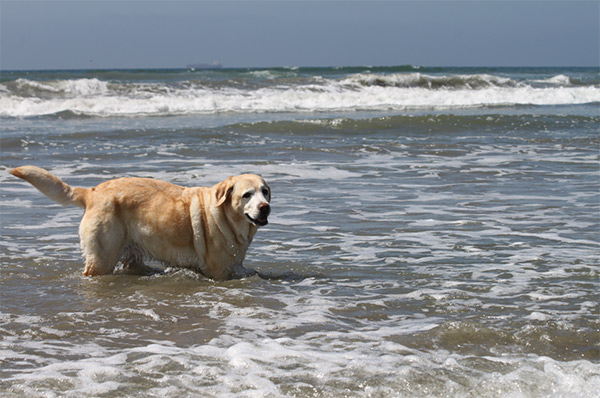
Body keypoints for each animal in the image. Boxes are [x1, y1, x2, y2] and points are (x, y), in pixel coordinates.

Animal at [9, 166, 270, 282]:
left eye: (265, 191)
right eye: (247, 195)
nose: (265, 207)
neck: (227, 219)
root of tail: (92, 192)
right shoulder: (218, 272)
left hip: (132, 253)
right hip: (102, 258)